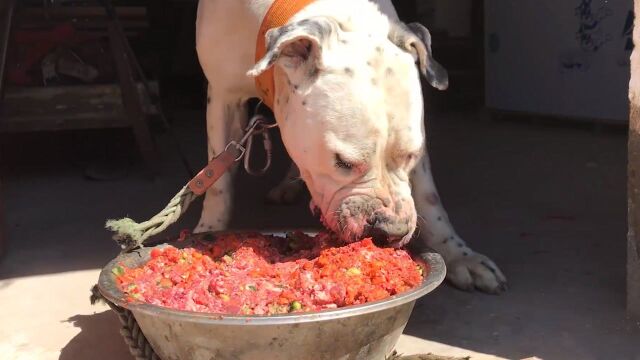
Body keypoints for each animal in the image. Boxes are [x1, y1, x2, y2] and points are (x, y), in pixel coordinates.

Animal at [194, 0, 504, 292]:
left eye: (411, 156)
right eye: (343, 162)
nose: (392, 230)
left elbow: (429, 197)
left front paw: (459, 255)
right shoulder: (221, 96)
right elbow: (217, 183)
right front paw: (207, 232)